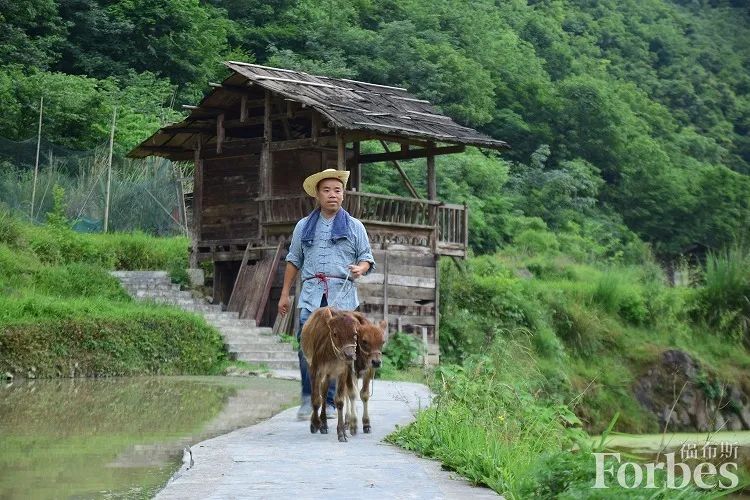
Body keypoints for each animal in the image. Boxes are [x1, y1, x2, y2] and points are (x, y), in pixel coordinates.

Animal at [302, 304, 360, 442]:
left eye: (355, 333)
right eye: (335, 333)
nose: (349, 355)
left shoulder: (343, 372)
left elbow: (339, 400)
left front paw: (341, 433)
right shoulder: (315, 370)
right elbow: (315, 399)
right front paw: (314, 423)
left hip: (329, 375)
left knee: (324, 392)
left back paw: (324, 424)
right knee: (320, 395)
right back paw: (321, 424)